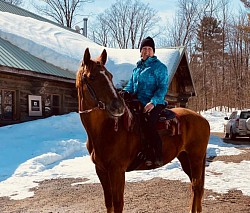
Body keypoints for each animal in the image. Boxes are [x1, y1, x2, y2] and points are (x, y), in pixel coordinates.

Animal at [75, 48, 210, 213]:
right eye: (92, 77)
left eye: (110, 76)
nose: (118, 106)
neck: (106, 130)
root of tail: (202, 119)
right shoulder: (101, 170)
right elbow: (109, 203)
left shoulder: (117, 171)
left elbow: (118, 203)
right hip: (185, 157)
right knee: (195, 186)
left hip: (196, 157)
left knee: (197, 186)